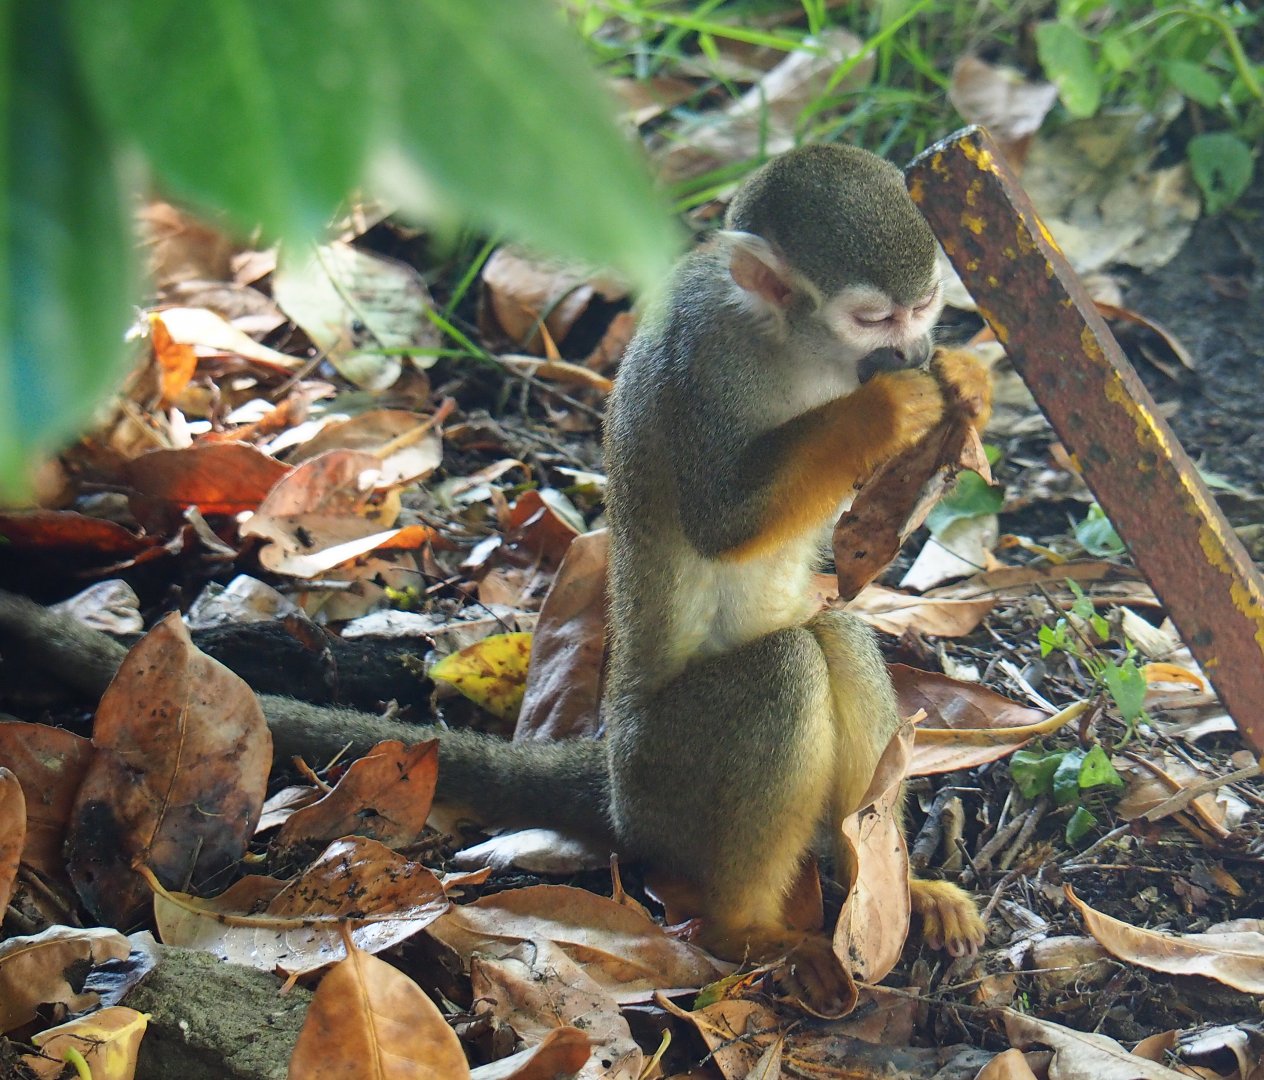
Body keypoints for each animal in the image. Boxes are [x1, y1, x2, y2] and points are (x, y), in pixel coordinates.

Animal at [0, 142, 987, 1001]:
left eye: (924, 309)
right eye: (873, 318)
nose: (905, 355)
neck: (792, 345)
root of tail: (613, 771)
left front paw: (962, 384)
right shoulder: (708, 359)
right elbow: (721, 520)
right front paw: (885, 410)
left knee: (836, 633)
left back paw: (876, 879)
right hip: (667, 774)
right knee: (788, 669)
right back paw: (746, 928)